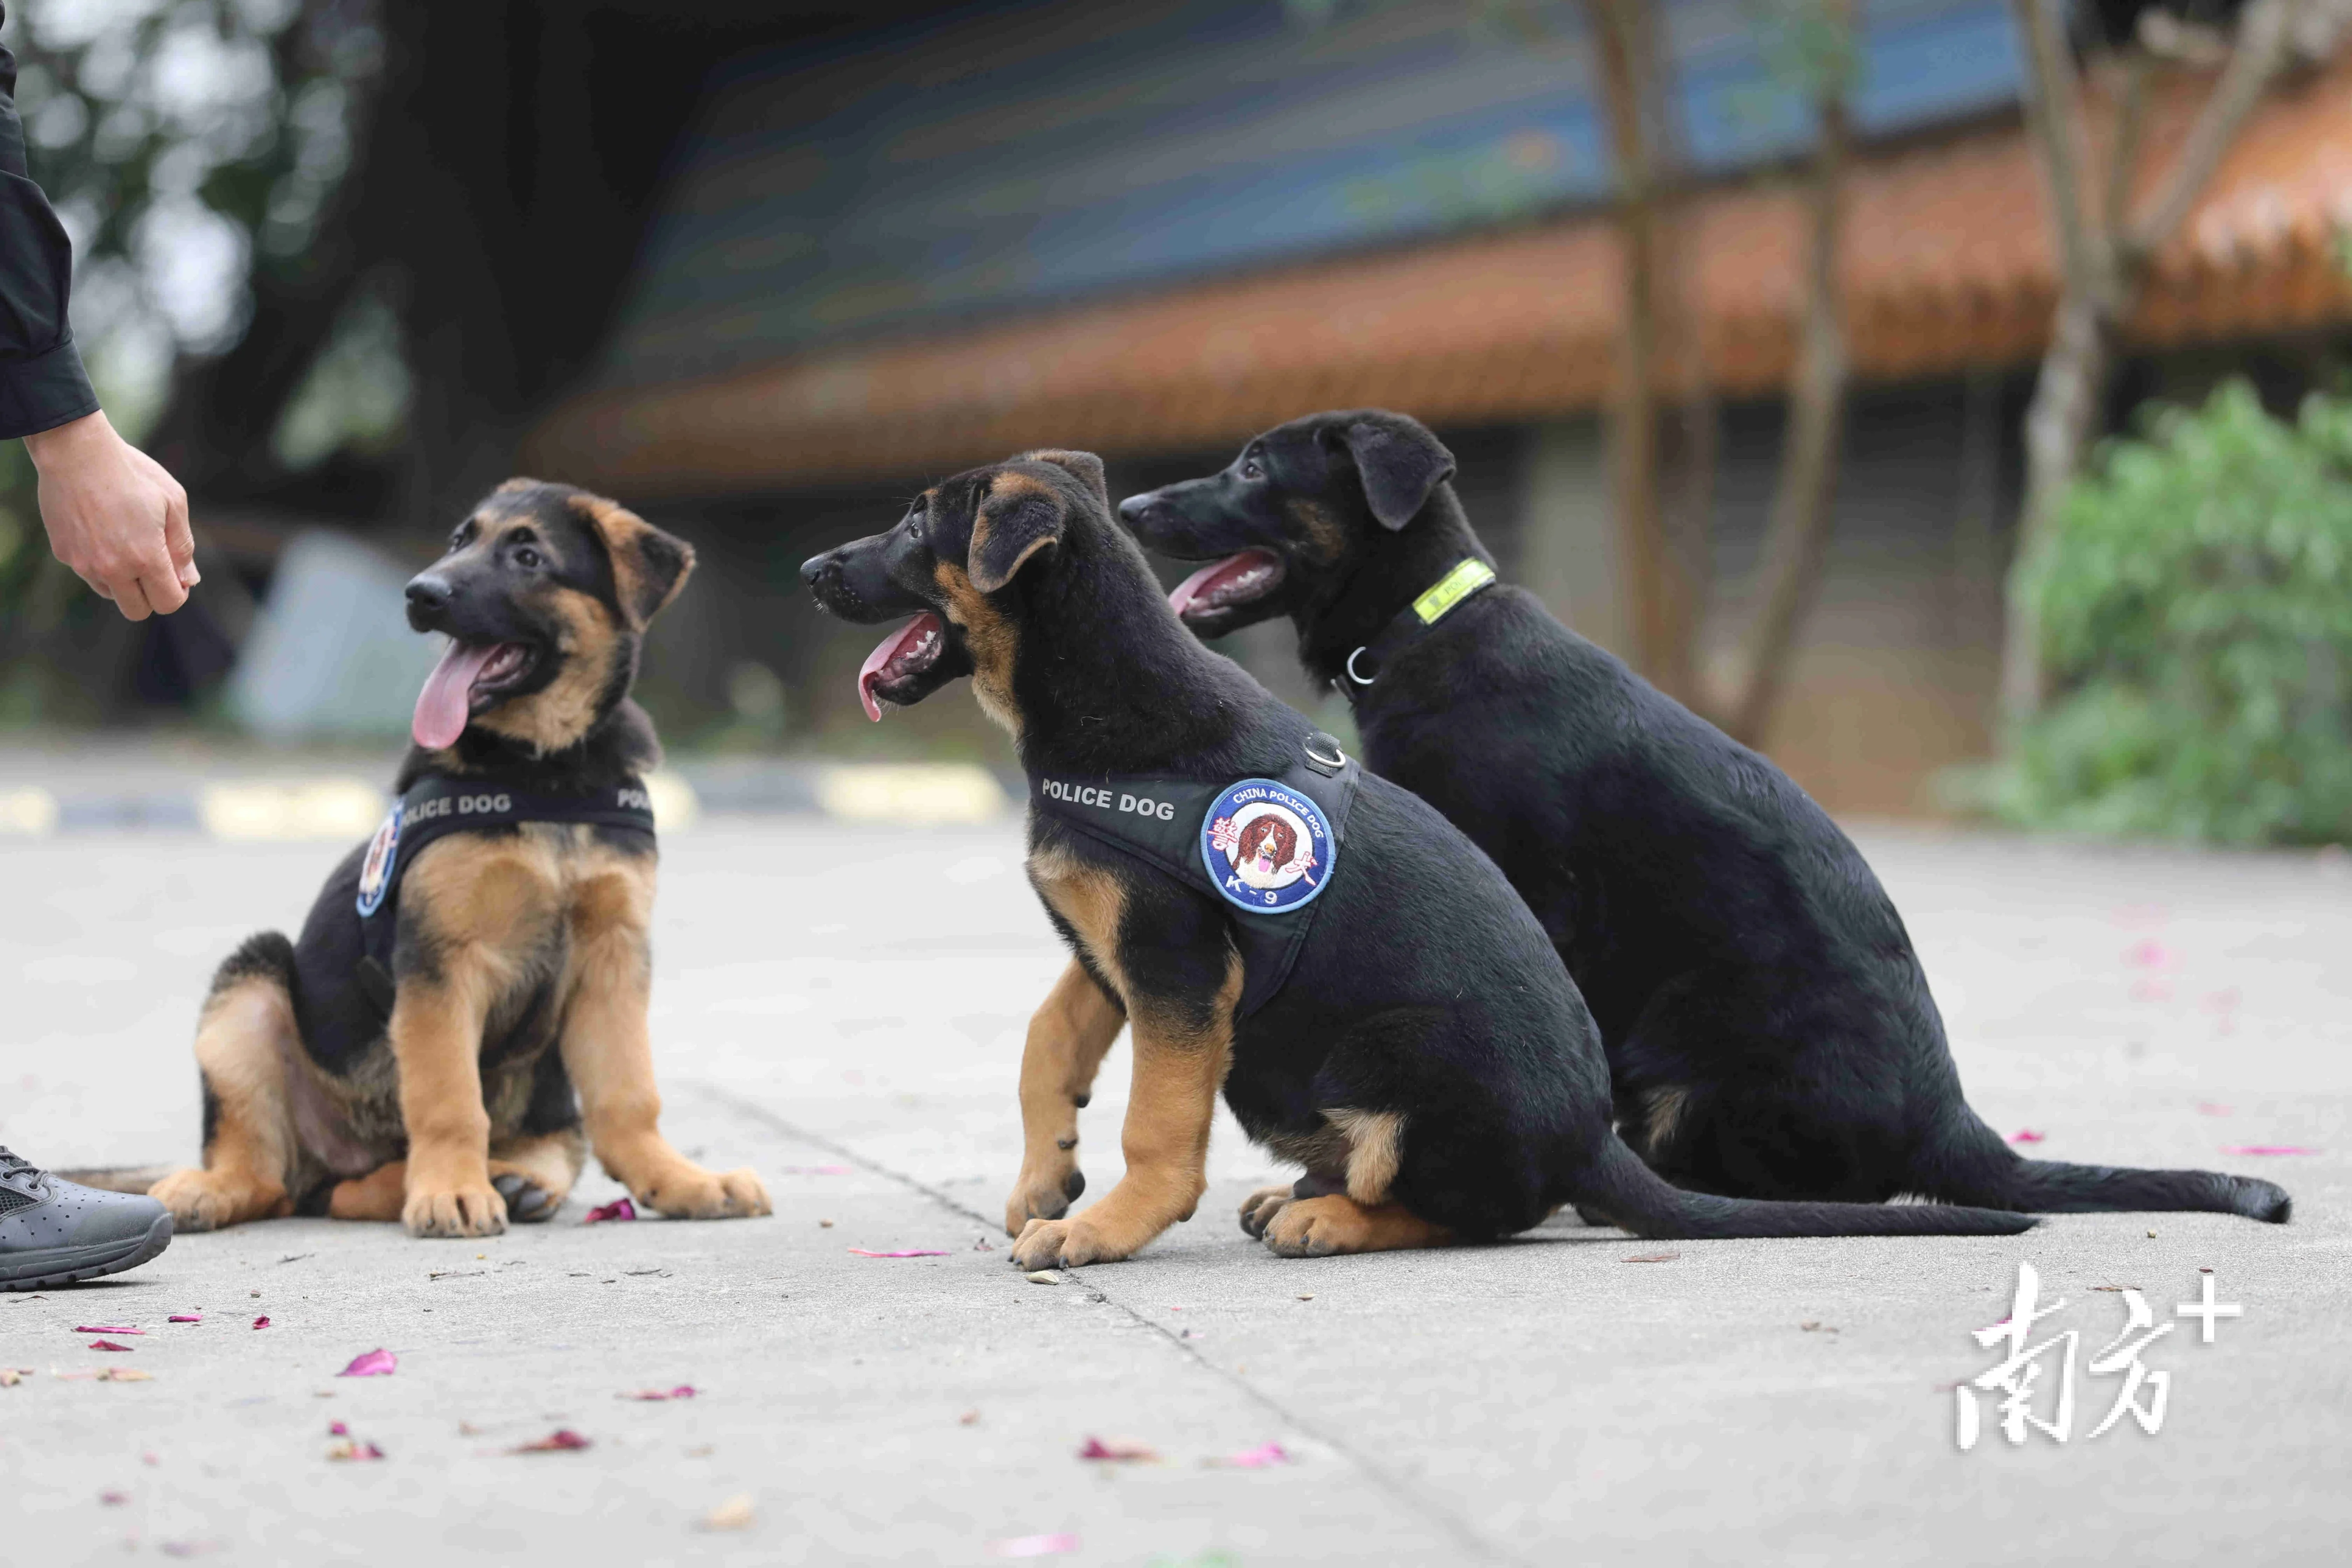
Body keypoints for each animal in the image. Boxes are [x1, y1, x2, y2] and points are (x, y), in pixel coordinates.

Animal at [145, 479, 771, 1241]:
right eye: (457, 543)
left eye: (529, 556)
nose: (420, 594)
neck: (544, 773)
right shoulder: (442, 963)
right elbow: (448, 1098)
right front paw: (451, 1189)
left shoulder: (613, 956)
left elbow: (629, 1095)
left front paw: (678, 1180)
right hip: (252, 986)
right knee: (276, 1179)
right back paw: (222, 1188)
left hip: (545, 1084)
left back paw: (515, 1178)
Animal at [800, 446, 2032, 1269]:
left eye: (913, 529)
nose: (812, 570)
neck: (1102, 698)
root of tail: (1596, 1145)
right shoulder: (1125, 949)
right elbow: (1046, 1038)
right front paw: (1047, 1171)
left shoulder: (1177, 966)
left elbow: (1156, 1120)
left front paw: (1103, 1226)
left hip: (1390, 1052)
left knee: (1479, 1212)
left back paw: (1331, 1212)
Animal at [1110, 414, 2286, 1222]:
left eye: (1254, 468)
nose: (1127, 509)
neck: (1423, 627)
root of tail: (1955, 1122)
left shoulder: (1532, 898)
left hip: (1691, 1032)